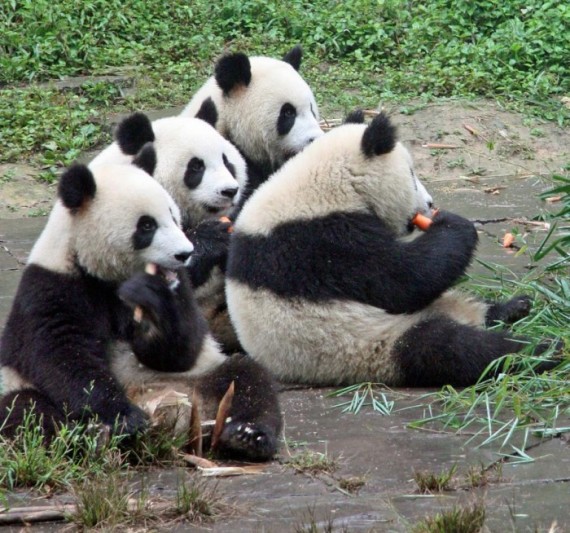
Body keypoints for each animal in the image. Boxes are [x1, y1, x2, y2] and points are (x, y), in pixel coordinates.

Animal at [0, 152, 280, 460]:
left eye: (174, 216)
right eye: (147, 225)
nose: (185, 253)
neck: (107, 275)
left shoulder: (180, 287)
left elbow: (180, 350)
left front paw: (155, 303)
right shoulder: (52, 286)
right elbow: (63, 356)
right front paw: (125, 417)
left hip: (201, 379)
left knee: (246, 378)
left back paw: (247, 435)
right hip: (17, 387)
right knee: (25, 410)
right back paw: (88, 436)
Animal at [225, 111, 560, 386]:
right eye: (412, 175)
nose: (430, 204)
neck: (324, 183)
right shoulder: (319, 243)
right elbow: (403, 280)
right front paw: (454, 225)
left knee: (470, 308)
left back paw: (513, 308)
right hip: (364, 344)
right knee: (447, 347)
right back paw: (541, 350)